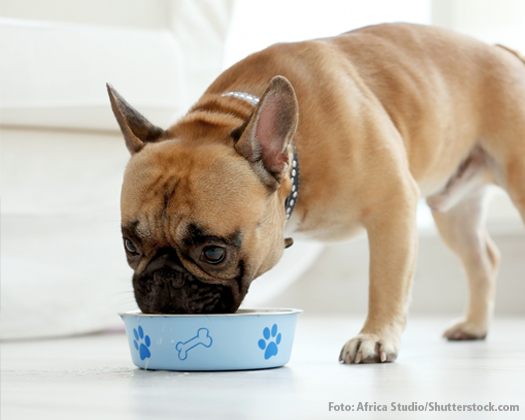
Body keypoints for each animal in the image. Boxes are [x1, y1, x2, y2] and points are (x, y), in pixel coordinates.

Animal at [107, 23, 524, 364]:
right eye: (130, 246)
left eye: (214, 253)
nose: (163, 279)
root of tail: (503, 51)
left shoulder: (393, 205)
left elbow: (385, 282)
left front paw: (375, 337)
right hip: (454, 212)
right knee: (482, 260)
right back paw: (474, 326)